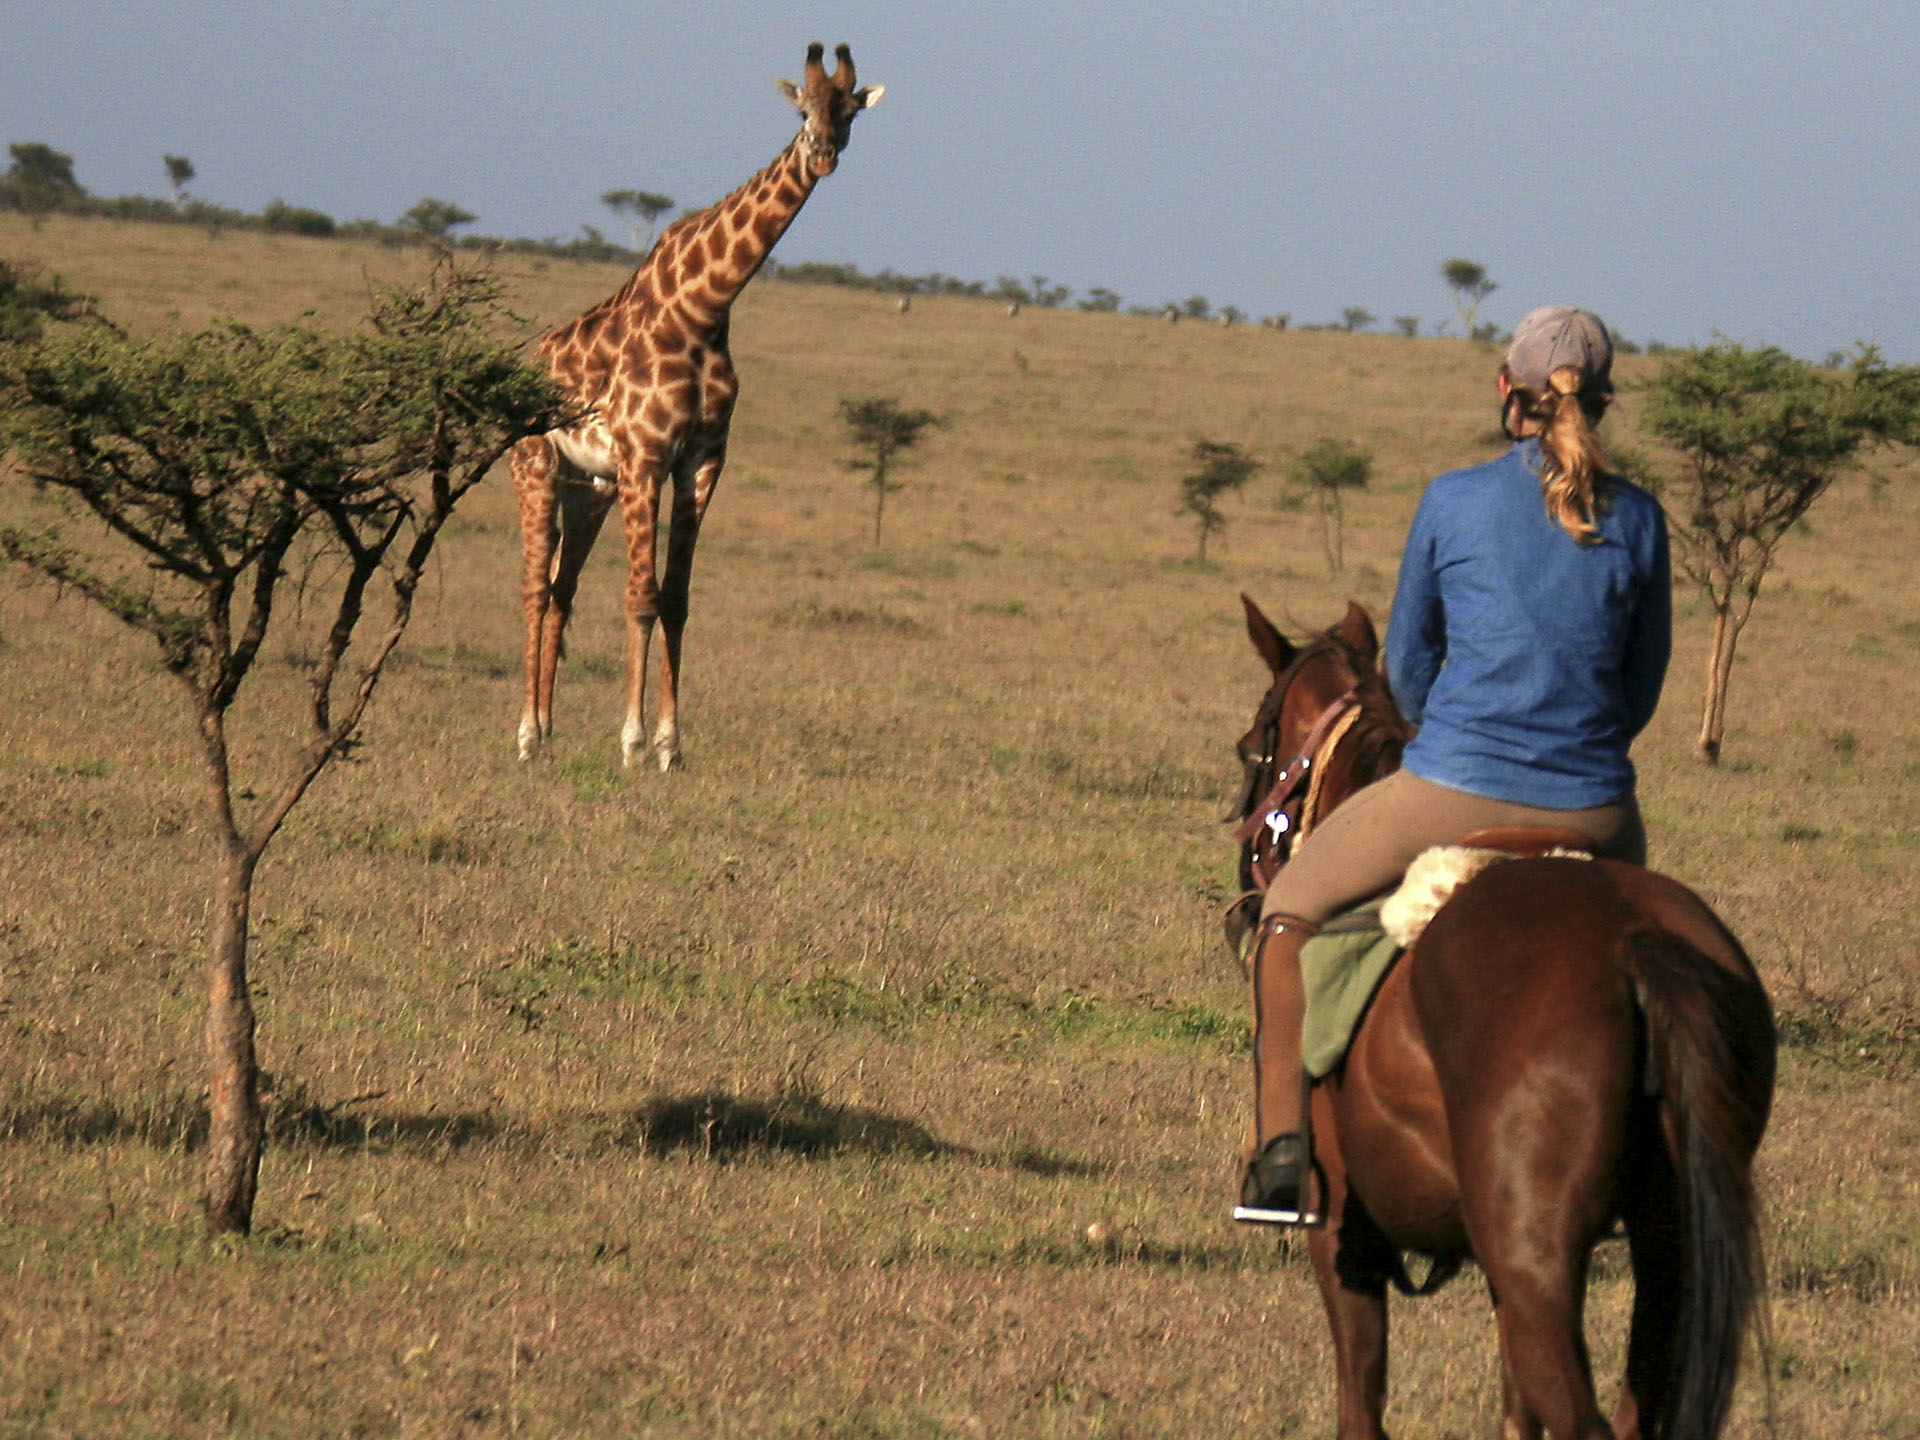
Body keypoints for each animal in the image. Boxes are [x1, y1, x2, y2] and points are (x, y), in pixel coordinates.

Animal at [503, 42, 879, 768]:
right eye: (802, 110)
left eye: (849, 111)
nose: (823, 152)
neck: (703, 309)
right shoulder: (646, 457)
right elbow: (640, 598)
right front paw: (631, 741)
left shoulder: (702, 461)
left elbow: (675, 600)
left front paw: (670, 746)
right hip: (535, 468)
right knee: (534, 590)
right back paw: (527, 736)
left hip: (588, 488)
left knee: (562, 591)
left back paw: (551, 732)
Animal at [1236, 599, 1774, 1440]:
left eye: (1253, 744)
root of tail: (1634, 940)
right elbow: (1517, 1413)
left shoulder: (1343, 1240)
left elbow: (1362, 1406)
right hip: (1665, 1248)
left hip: (1534, 1261)